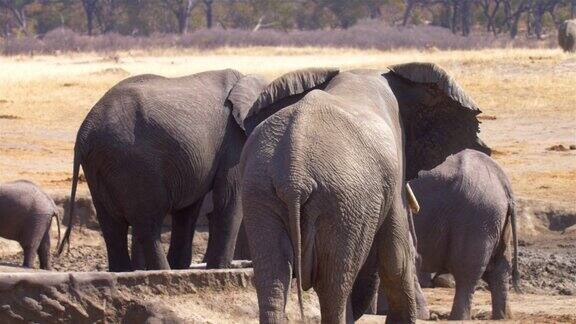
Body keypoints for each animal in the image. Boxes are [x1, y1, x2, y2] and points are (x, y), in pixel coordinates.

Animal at [59, 69, 268, 272]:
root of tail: (84, 131)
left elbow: (188, 210)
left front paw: (182, 266)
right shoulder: (233, 139)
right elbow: (229, 197)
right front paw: (217, 269)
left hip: (99, 166)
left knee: (112, 227)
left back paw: (125, 271)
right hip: (133, 164)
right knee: (148, 224)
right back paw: (163, 272)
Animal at [238, 64, 490, 322]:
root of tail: (294, 170)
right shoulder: (395, 170)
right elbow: (397, 259)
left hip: (261, 191)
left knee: (273, 279)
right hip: (341, 200)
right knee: (333, 285)